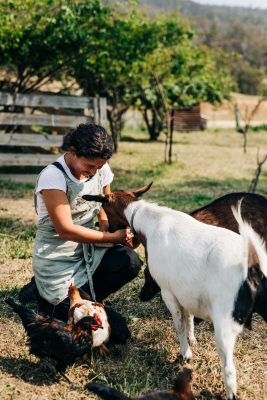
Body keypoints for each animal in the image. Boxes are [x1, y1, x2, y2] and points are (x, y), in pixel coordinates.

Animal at [85, 187, 267, 400]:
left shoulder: (168, 292)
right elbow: (188, 318)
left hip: (224, 322)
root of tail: (253, 264)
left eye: (104, 208)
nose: (102, 227)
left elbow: (179, 324)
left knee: (229, 370)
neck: (150, 221)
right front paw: (192, 340)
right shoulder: (184, 291)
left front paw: (185, 353)